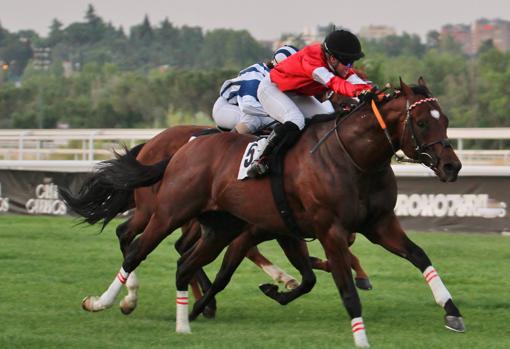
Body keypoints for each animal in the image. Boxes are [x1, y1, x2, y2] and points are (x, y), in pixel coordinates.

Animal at [77, 77, 464, 346]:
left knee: (183, 262)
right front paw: (360, 335)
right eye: (422, 123)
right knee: (134, 248)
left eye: (444, 119)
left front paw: (452, 312)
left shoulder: (376, 224)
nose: (452, 166)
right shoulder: (326, 231)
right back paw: (107, 302)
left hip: (218, 227)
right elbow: (340, 288)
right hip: (168, 213)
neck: (353, 157)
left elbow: (419, 256)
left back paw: (185, 319)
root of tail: (179, 150)